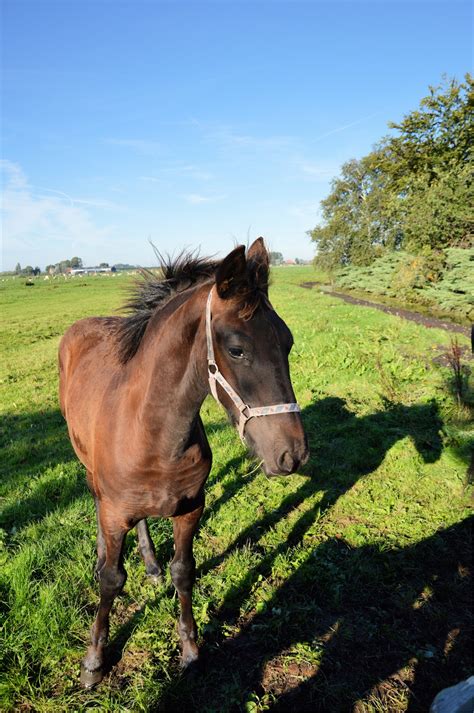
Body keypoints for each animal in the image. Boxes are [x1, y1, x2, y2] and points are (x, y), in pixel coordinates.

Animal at [58, 238, 308, 687]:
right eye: (237, 349)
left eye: (288, 342)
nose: (292, 454)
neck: (154, 434)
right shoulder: (115, 510)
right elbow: (111, 581)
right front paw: (93, 661)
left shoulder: (191, 507)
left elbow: (184, 570)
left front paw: (190, 648)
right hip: (86, 465)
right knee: (95, 499)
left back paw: (150, 564)